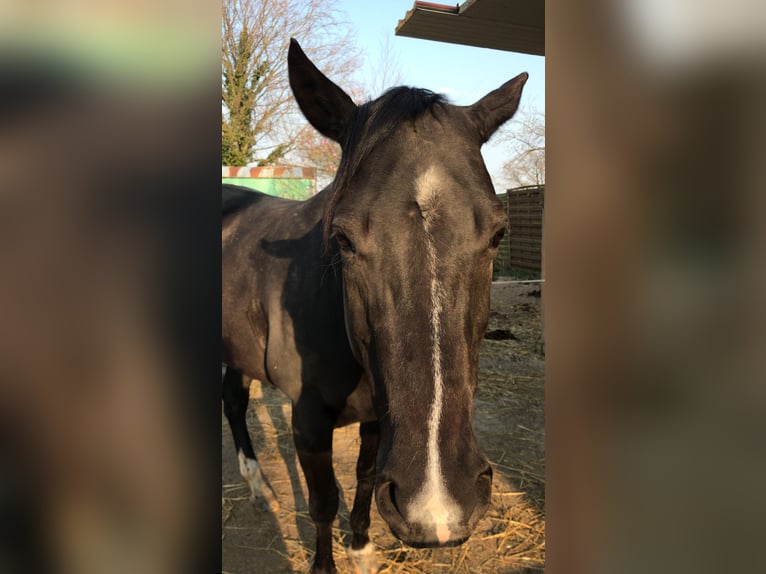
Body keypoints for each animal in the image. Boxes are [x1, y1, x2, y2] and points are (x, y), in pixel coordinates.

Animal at [222, 38, 527, 574]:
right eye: (342, 238)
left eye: (497, 234)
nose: (440, 507)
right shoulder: (307, 422)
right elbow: (324, 502)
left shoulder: (375, 418)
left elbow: (365, 477)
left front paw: (361, 547)